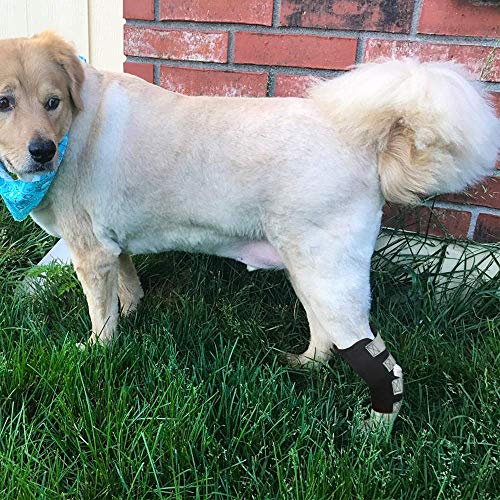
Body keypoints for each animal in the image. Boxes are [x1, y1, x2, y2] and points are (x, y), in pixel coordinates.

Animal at [0, 32, 496, 430]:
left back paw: (372, 432)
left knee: (381, 365)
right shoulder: (112, 245)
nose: (42, 151)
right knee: (324, 337)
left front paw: (97, 351)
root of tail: (363, 141)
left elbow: (101, 318)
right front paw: (133, 312)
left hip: (331, 277)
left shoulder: (91, 252)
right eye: (5, 102)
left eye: (52, 102)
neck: (76, 126)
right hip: (308, 269)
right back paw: (305, 365)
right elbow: (128, 283)